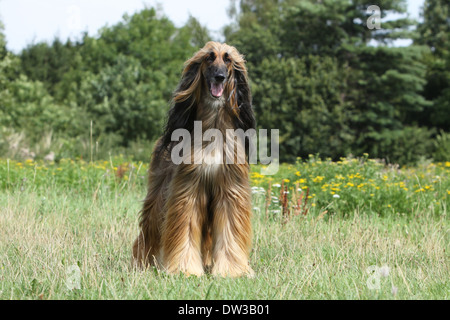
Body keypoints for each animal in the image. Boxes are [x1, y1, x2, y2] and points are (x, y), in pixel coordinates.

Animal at [132, 42, 255, 278]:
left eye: (227, 59)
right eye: (209, 58)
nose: (219, 77)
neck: (214, 126)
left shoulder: (229, 189)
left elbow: (229, 230)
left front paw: (230, 270)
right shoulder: (188, 189)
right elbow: (186, 229)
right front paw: (184, 268)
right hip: (159, 192)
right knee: (150, 225)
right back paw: (141, 262)